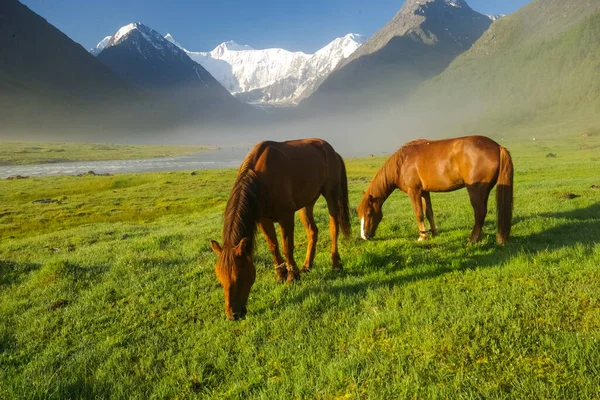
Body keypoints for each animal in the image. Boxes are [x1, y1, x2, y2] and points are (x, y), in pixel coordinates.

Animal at [211, 139, 352, 320]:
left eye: (239, 277)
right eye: (220, 279)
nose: (233, 315)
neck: (260, 179)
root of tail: (332, 152)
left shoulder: (286, 217)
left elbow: (287, 247)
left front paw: (292, 276)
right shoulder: (263, 220)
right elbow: (273, 246)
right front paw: (280, 274)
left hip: (331, 195)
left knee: (333, 227)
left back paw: (335, 264)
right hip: (306, 203)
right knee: (312, 231)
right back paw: (307, 265)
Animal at [356, 136, 516, 245]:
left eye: (369, 213)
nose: (365, 236)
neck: (401, 164)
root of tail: (498, 147)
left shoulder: (414, 191)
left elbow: (419, 214)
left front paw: (422, 236)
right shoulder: (424, 192)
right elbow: (429, 213)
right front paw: (434, 232)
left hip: (476, 191)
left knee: (480, 212)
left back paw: (471, 239)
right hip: (484, 192)